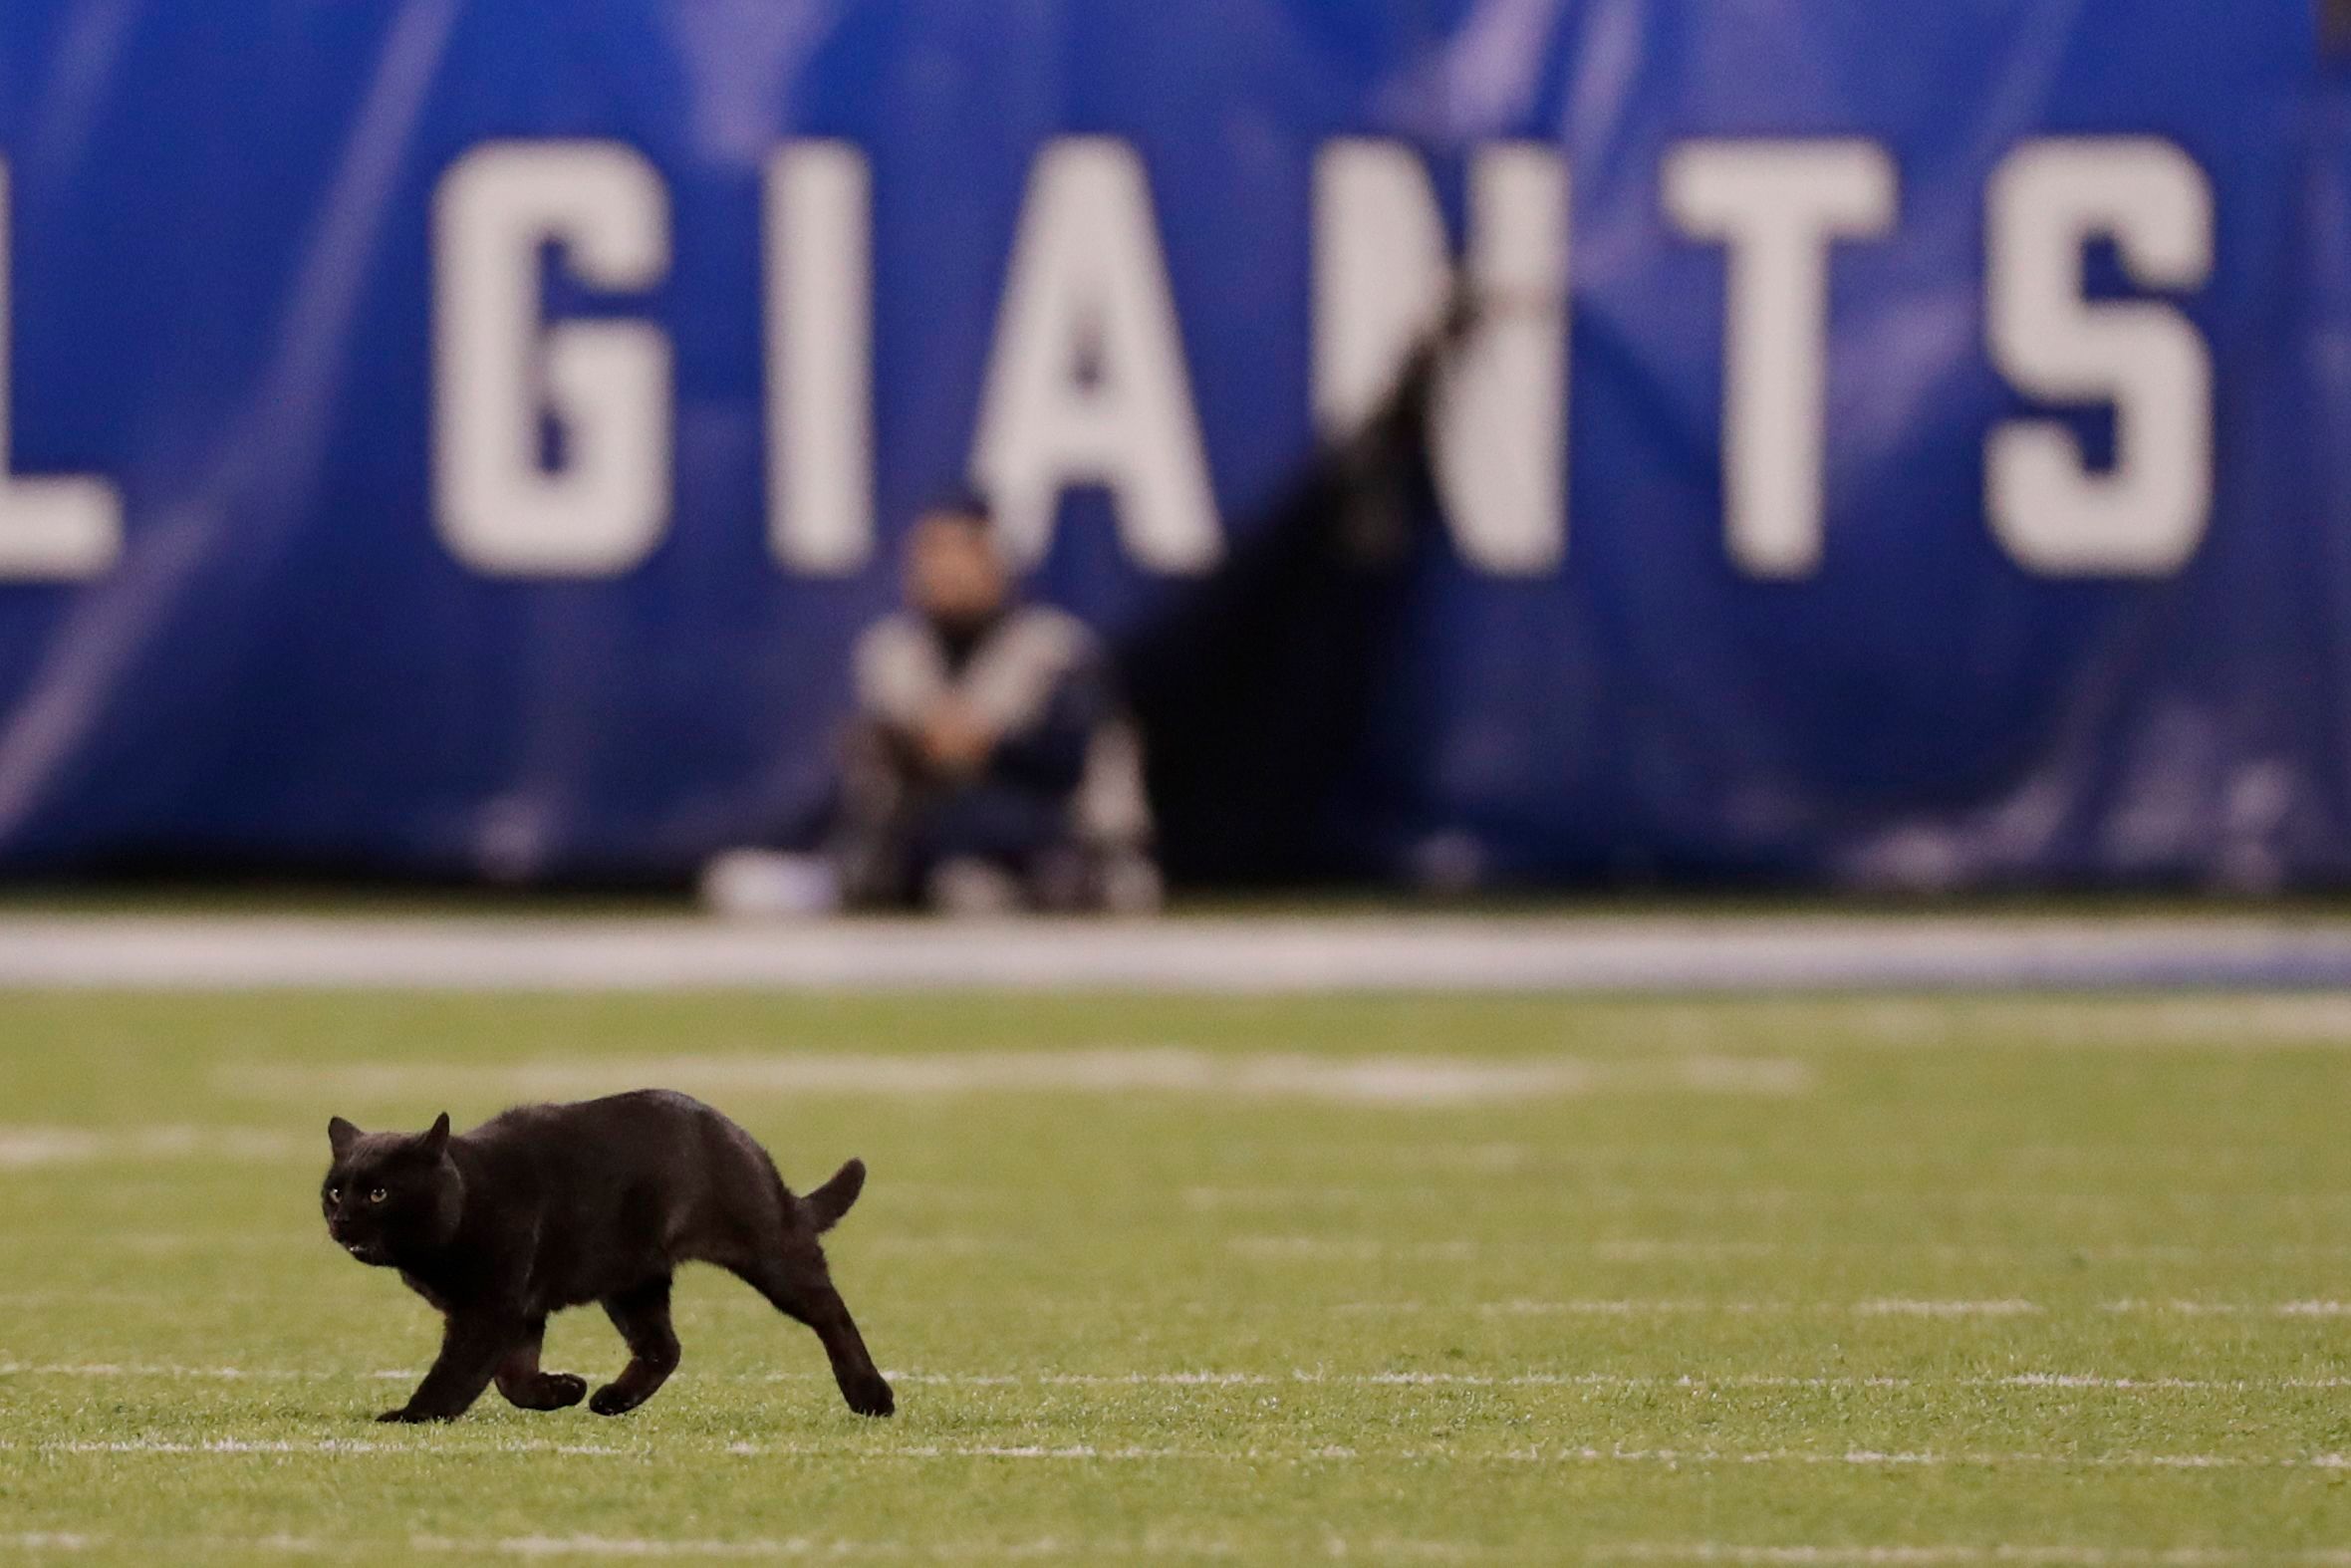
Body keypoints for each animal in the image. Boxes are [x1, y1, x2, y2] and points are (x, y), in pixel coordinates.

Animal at [322, 1090, 889, 1420]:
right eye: (334, 1191)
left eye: (379, 1194)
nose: (340, 1218)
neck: (468, 1198)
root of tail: (735, 1132)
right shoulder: (519, 1311)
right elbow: (512, 1377)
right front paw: (563, 1391)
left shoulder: (490, 1309)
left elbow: (456, 1375)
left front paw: (409, 1416)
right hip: (632, 1282)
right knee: (664, 1347)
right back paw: (612, 1400)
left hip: (768, 1251)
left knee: (831, 1311)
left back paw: (872, 1397)